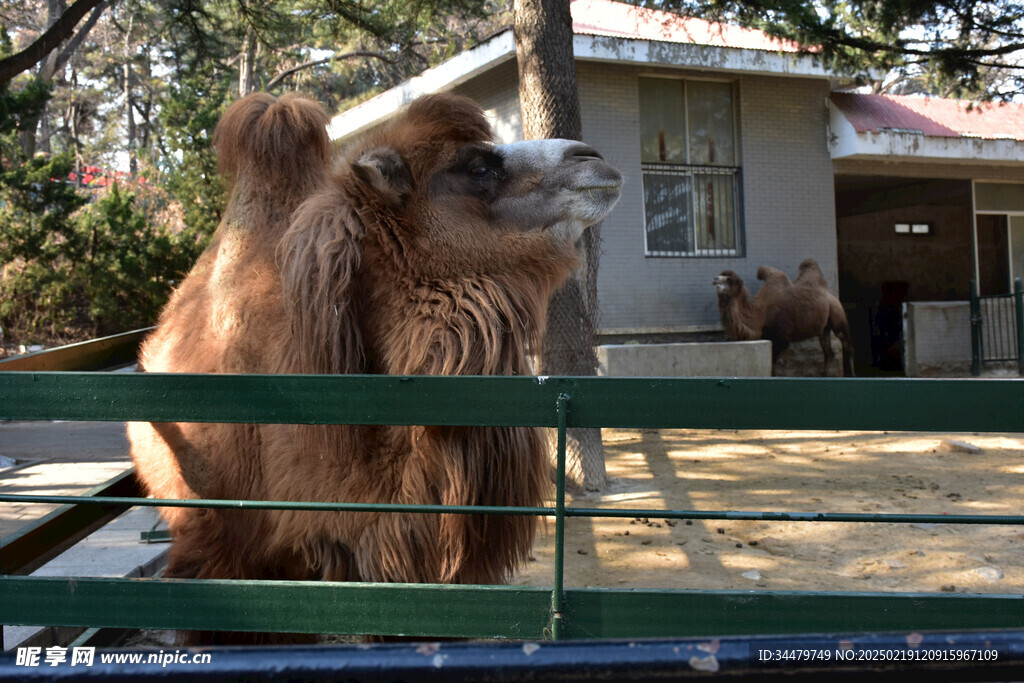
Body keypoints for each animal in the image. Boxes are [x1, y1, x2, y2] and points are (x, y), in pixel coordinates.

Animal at [712, 259, 856, 376]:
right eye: (721, 275)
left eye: (729, 279)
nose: (715, 278)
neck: (760, 314)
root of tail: (830, 294)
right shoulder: (769, 336)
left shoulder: (780, 338)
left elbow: (773, 366)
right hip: (824, 328)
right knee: (828, 353)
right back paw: (825, 375)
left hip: (837, 316)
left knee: (847, 344)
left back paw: (853, 375)